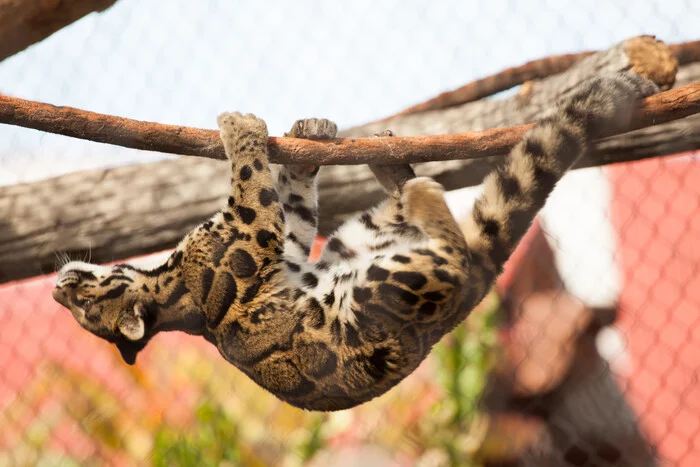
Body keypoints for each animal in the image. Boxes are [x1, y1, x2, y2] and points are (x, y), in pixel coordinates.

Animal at [53, 71, 656, 412]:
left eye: (79, 303)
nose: (58, 288)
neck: (165, 286)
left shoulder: (290, 248)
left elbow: (293, 203)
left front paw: (306, 141)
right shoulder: (250, 234)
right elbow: (253, 180)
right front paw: (242, 130)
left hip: (356, 238)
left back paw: (392, 164)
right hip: (382, 285)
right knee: (455, 253)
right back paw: (421, 192)